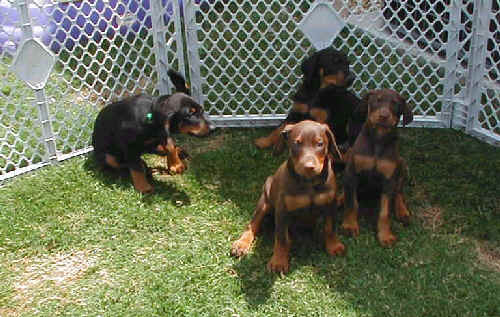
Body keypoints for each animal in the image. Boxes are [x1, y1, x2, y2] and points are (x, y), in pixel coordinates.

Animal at [232, 119, 346, 272]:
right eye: (297, 143)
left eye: (320, 144)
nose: (309, 167)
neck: (309, 182)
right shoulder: (282, 210)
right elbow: (281, 238)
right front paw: (279, 261)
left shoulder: (331, 205)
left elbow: (330, 228)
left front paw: (334, 246)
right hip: (265, 200)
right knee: (253, 224)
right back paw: (241, 243)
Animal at [340, 87, 414, 246]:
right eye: (377, 100)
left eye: (395, 103)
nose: (384, 116)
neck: (379, 139)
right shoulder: (353, 172)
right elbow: (352, 204)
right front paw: (350, 226)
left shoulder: (388, 180)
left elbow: (384, 212)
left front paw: (385, 235)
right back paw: (341, 197)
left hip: (402, 164)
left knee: (399, 192)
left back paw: (402, 211)